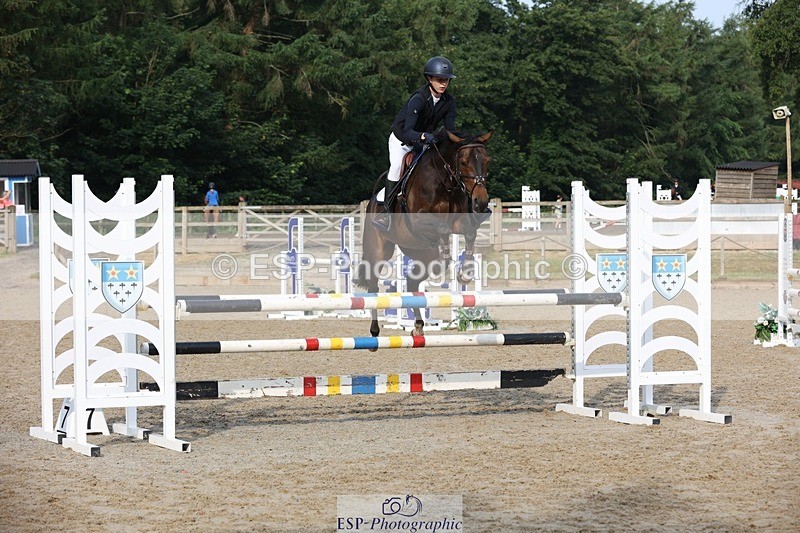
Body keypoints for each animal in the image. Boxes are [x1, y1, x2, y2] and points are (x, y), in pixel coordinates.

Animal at [355, 130, 493, 338]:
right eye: (463, 162)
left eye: (487, 160)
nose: (481, 202)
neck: (444, 181)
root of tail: (371, 201)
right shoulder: (420, 219)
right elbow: (442, 229)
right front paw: (445, 258)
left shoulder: (459, 222)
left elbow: (469, 233)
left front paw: (465, 273)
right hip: (379, 251)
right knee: (373, 286)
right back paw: (374, 330)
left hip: (419, 253)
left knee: (413, 283)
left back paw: (418, 326)